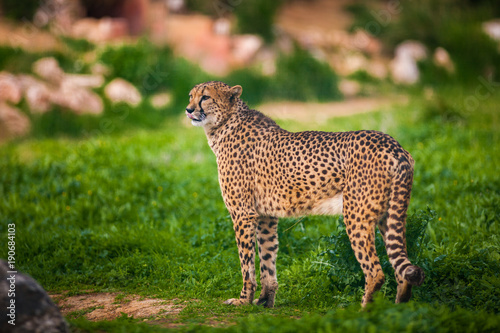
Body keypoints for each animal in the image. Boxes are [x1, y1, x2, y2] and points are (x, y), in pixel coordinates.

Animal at [186, 81, 424, 308]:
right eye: (191, 95)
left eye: (205, 97)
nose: (188, 109)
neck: (225, 124)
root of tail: (394, 145)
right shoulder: (265, 216)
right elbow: (267, 258)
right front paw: (265, 301)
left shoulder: (243, 214)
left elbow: (247, 263)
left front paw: (243, 300)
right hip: (388, 214)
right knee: (400, 269)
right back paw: (397, 309)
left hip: (357, 215)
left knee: (376, 271)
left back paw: (364, 310)